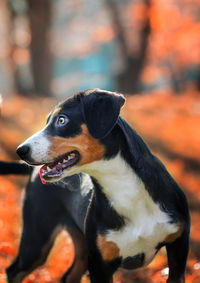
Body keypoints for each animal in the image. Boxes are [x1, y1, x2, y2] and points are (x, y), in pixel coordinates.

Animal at [14, 89, 190, 283]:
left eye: (62, 120)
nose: (20, 150)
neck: (124, 188)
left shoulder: (179, 246)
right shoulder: (100, 263)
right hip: (37, 240)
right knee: (13, 271)